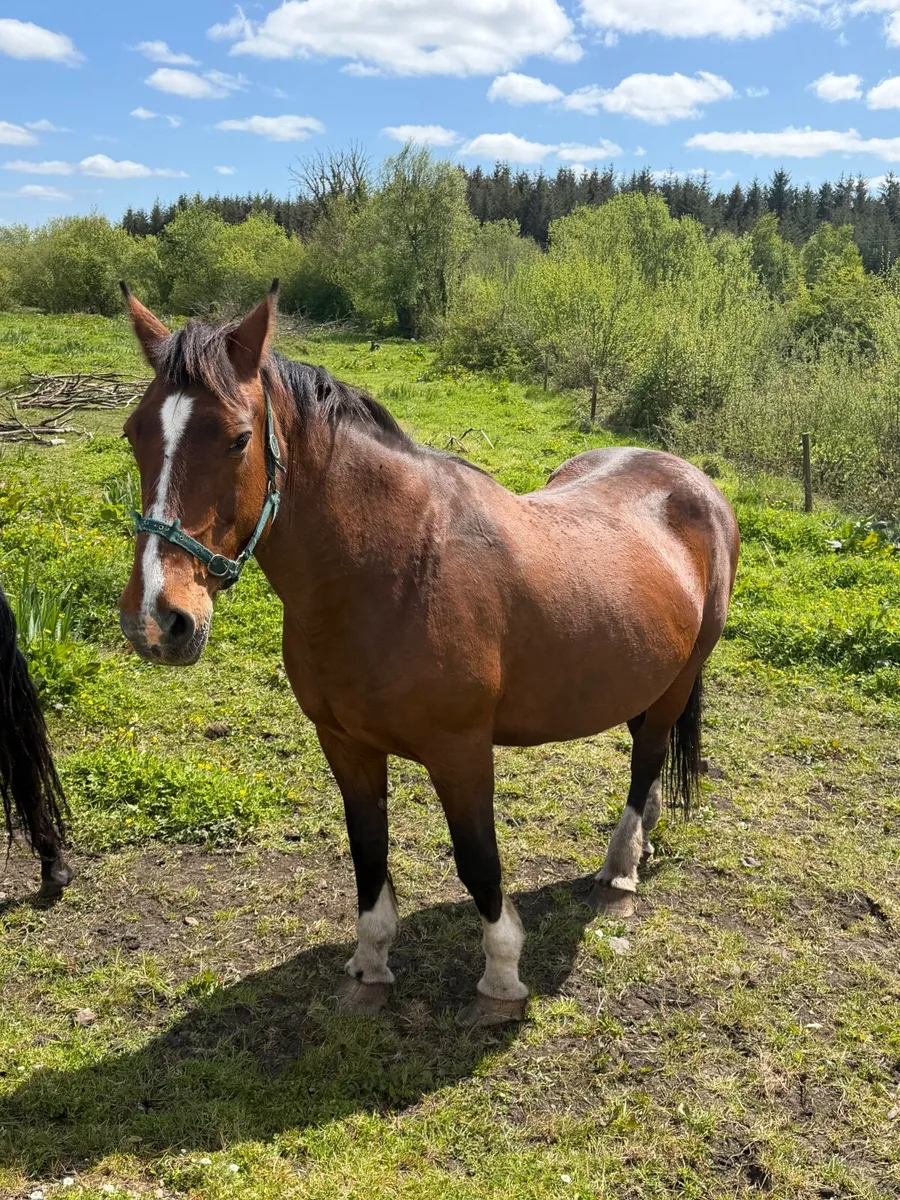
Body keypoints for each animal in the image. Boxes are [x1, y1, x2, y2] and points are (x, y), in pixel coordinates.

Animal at [118, 281, 740, 1026]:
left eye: (239, 438)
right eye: (135, 433)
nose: (159, 619)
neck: (395, 569)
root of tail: (693, 481)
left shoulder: (461, 753)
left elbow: (478, 863)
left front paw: (501, 979)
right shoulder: (345, 745)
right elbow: (368, 853)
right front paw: (370, 967)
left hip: (677, 681)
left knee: (646, 761)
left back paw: (620, 870)